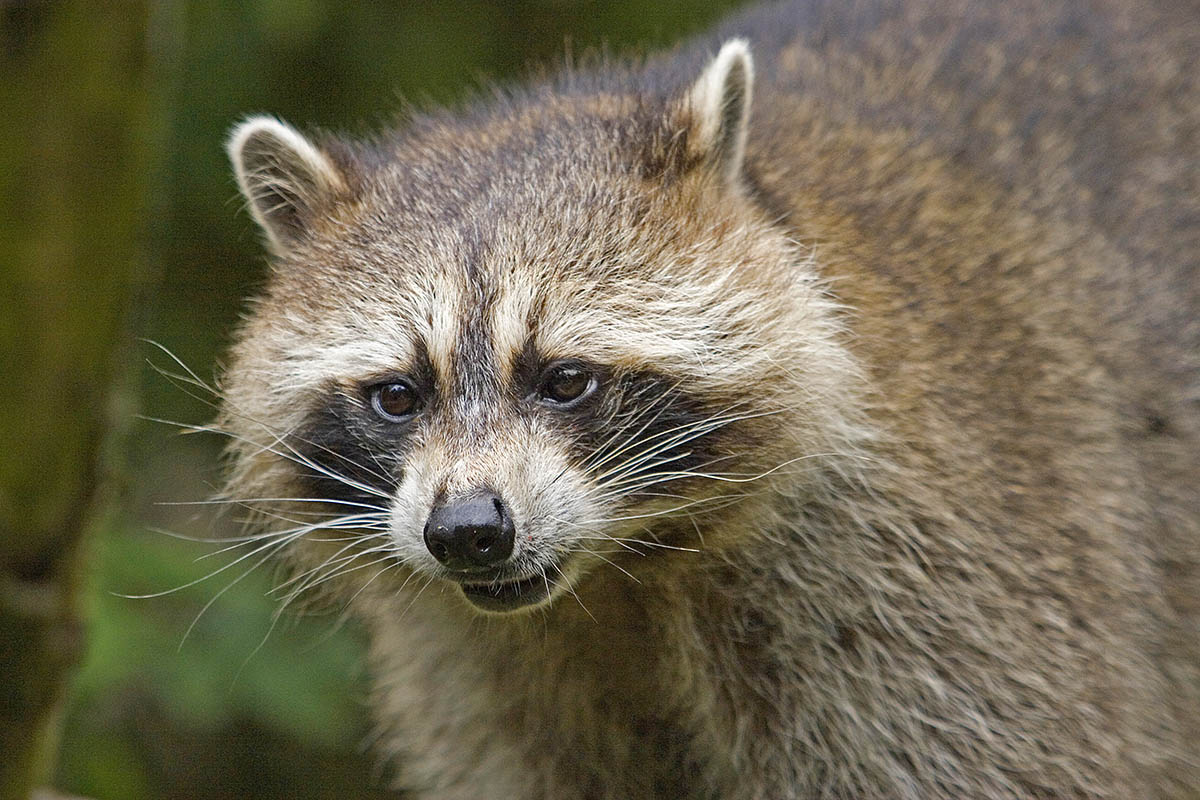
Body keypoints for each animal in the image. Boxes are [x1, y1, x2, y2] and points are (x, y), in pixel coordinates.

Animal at [218, 1, 1200, 800]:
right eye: (397, 395)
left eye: (565, 379)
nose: (467, 532)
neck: (618, 576)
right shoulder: (484, 673)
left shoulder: (936, 586)